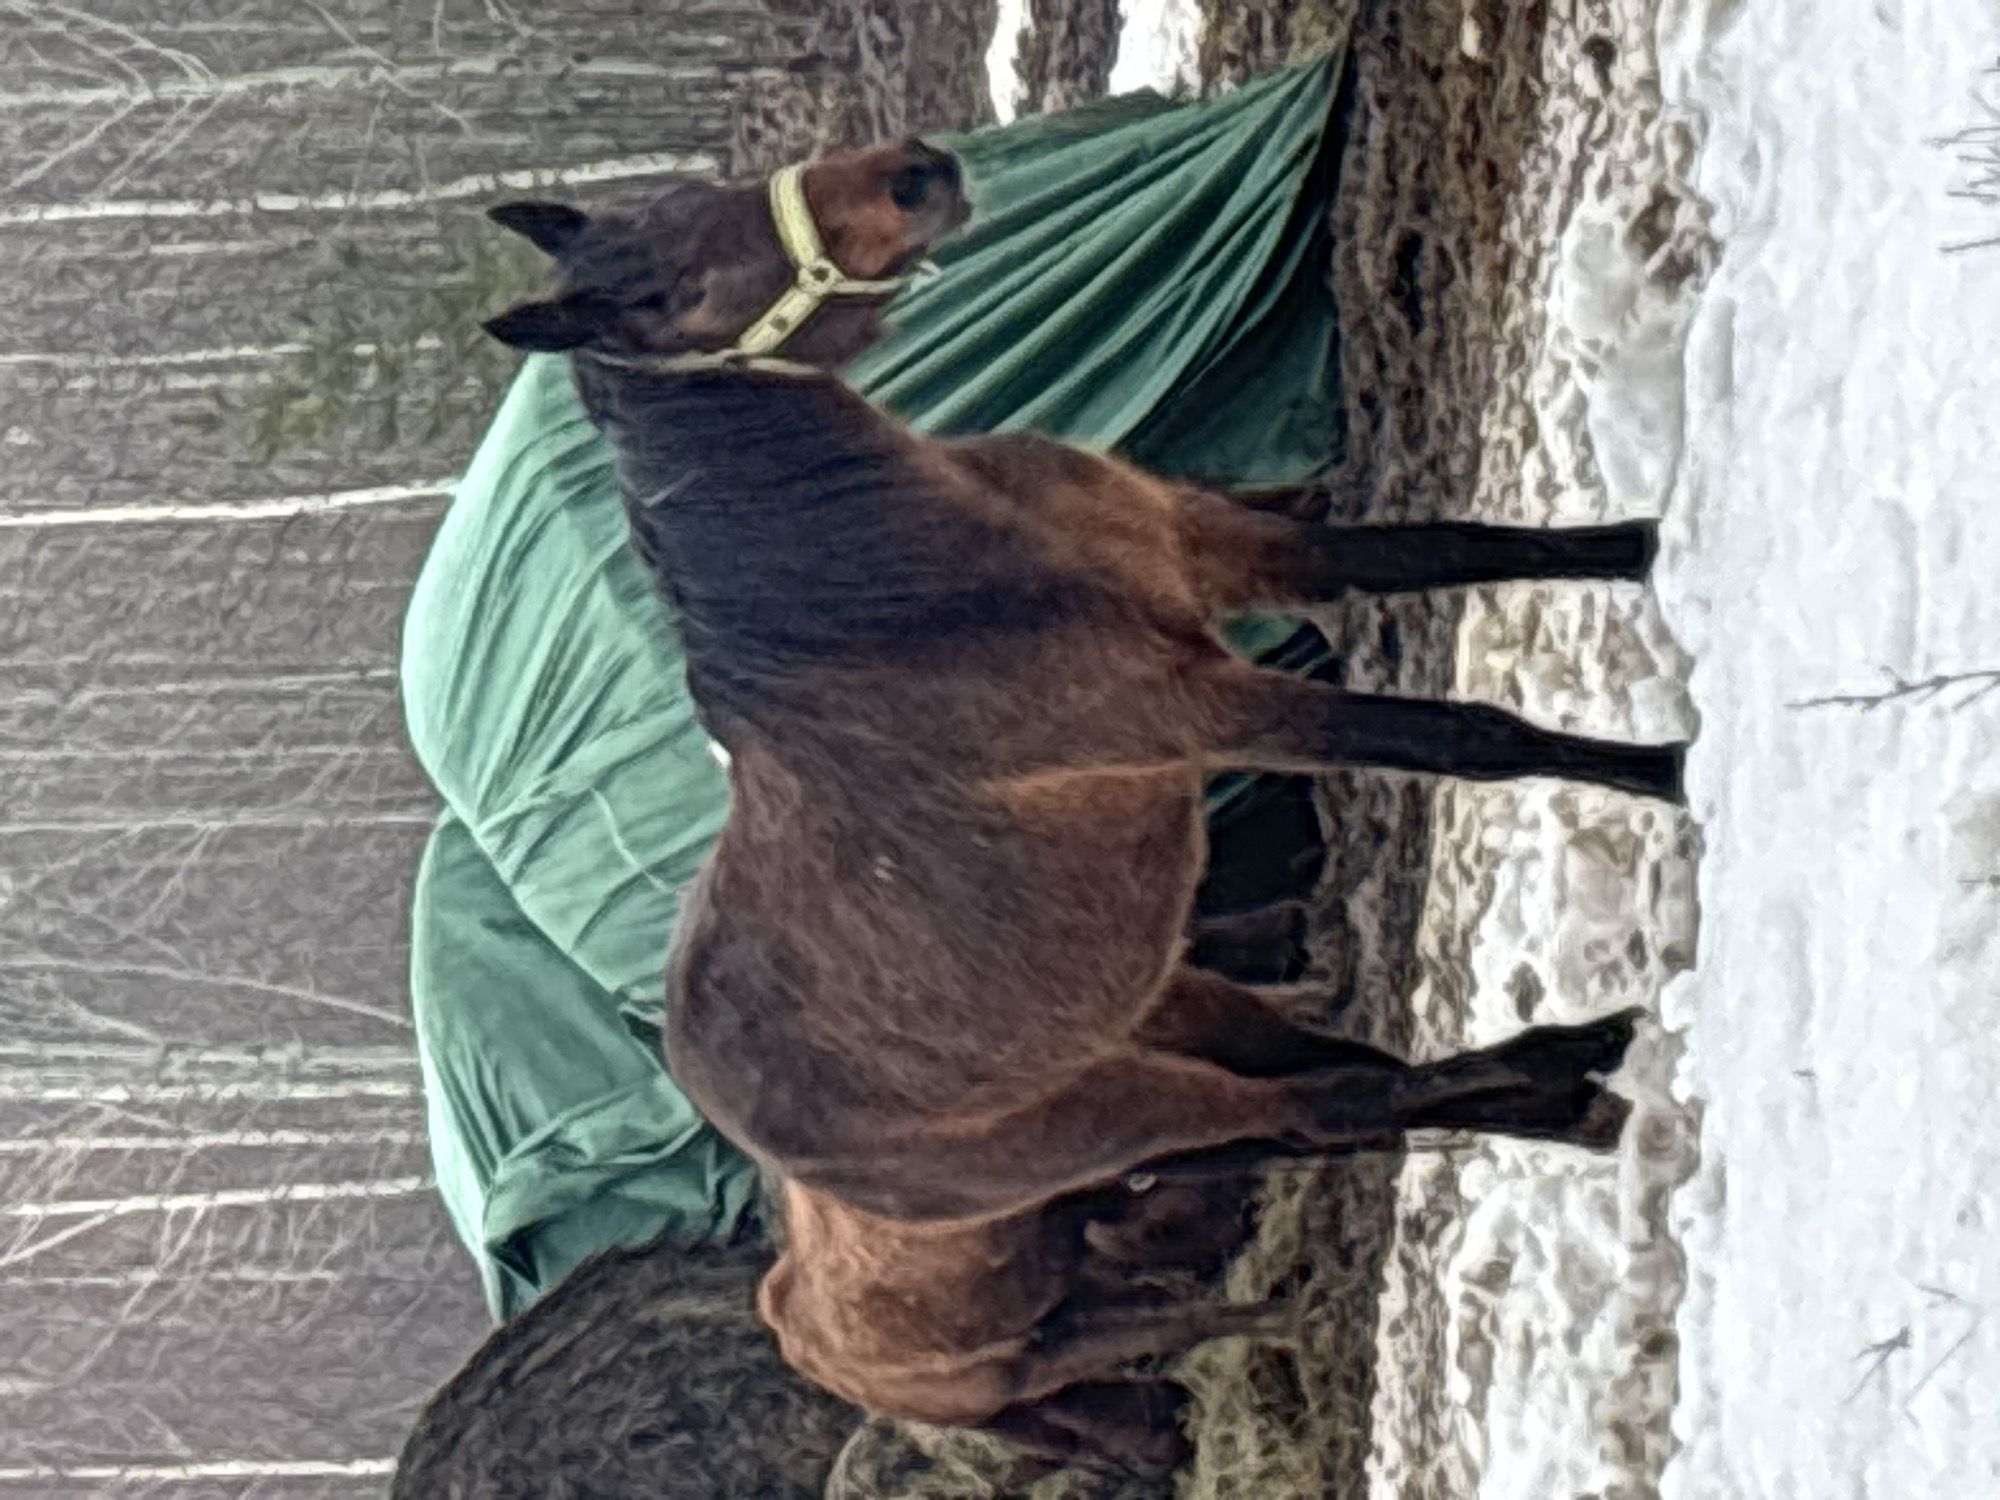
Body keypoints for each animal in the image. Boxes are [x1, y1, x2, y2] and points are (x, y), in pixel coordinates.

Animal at [478, 136, 1682, 1468]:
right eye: (677, 288)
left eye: (708, 197)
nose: (916, 171)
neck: (910, 595)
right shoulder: (1202, 707)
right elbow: (1469, 739)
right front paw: (1668, 771)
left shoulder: (1217, 549)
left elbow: (1443, 548)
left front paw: (1639, 542)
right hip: (1119, 1117)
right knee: (1325, 1109)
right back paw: (1555, 1098)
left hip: (1180, 1015)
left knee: (1336, 1079)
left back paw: (1568, 1076)